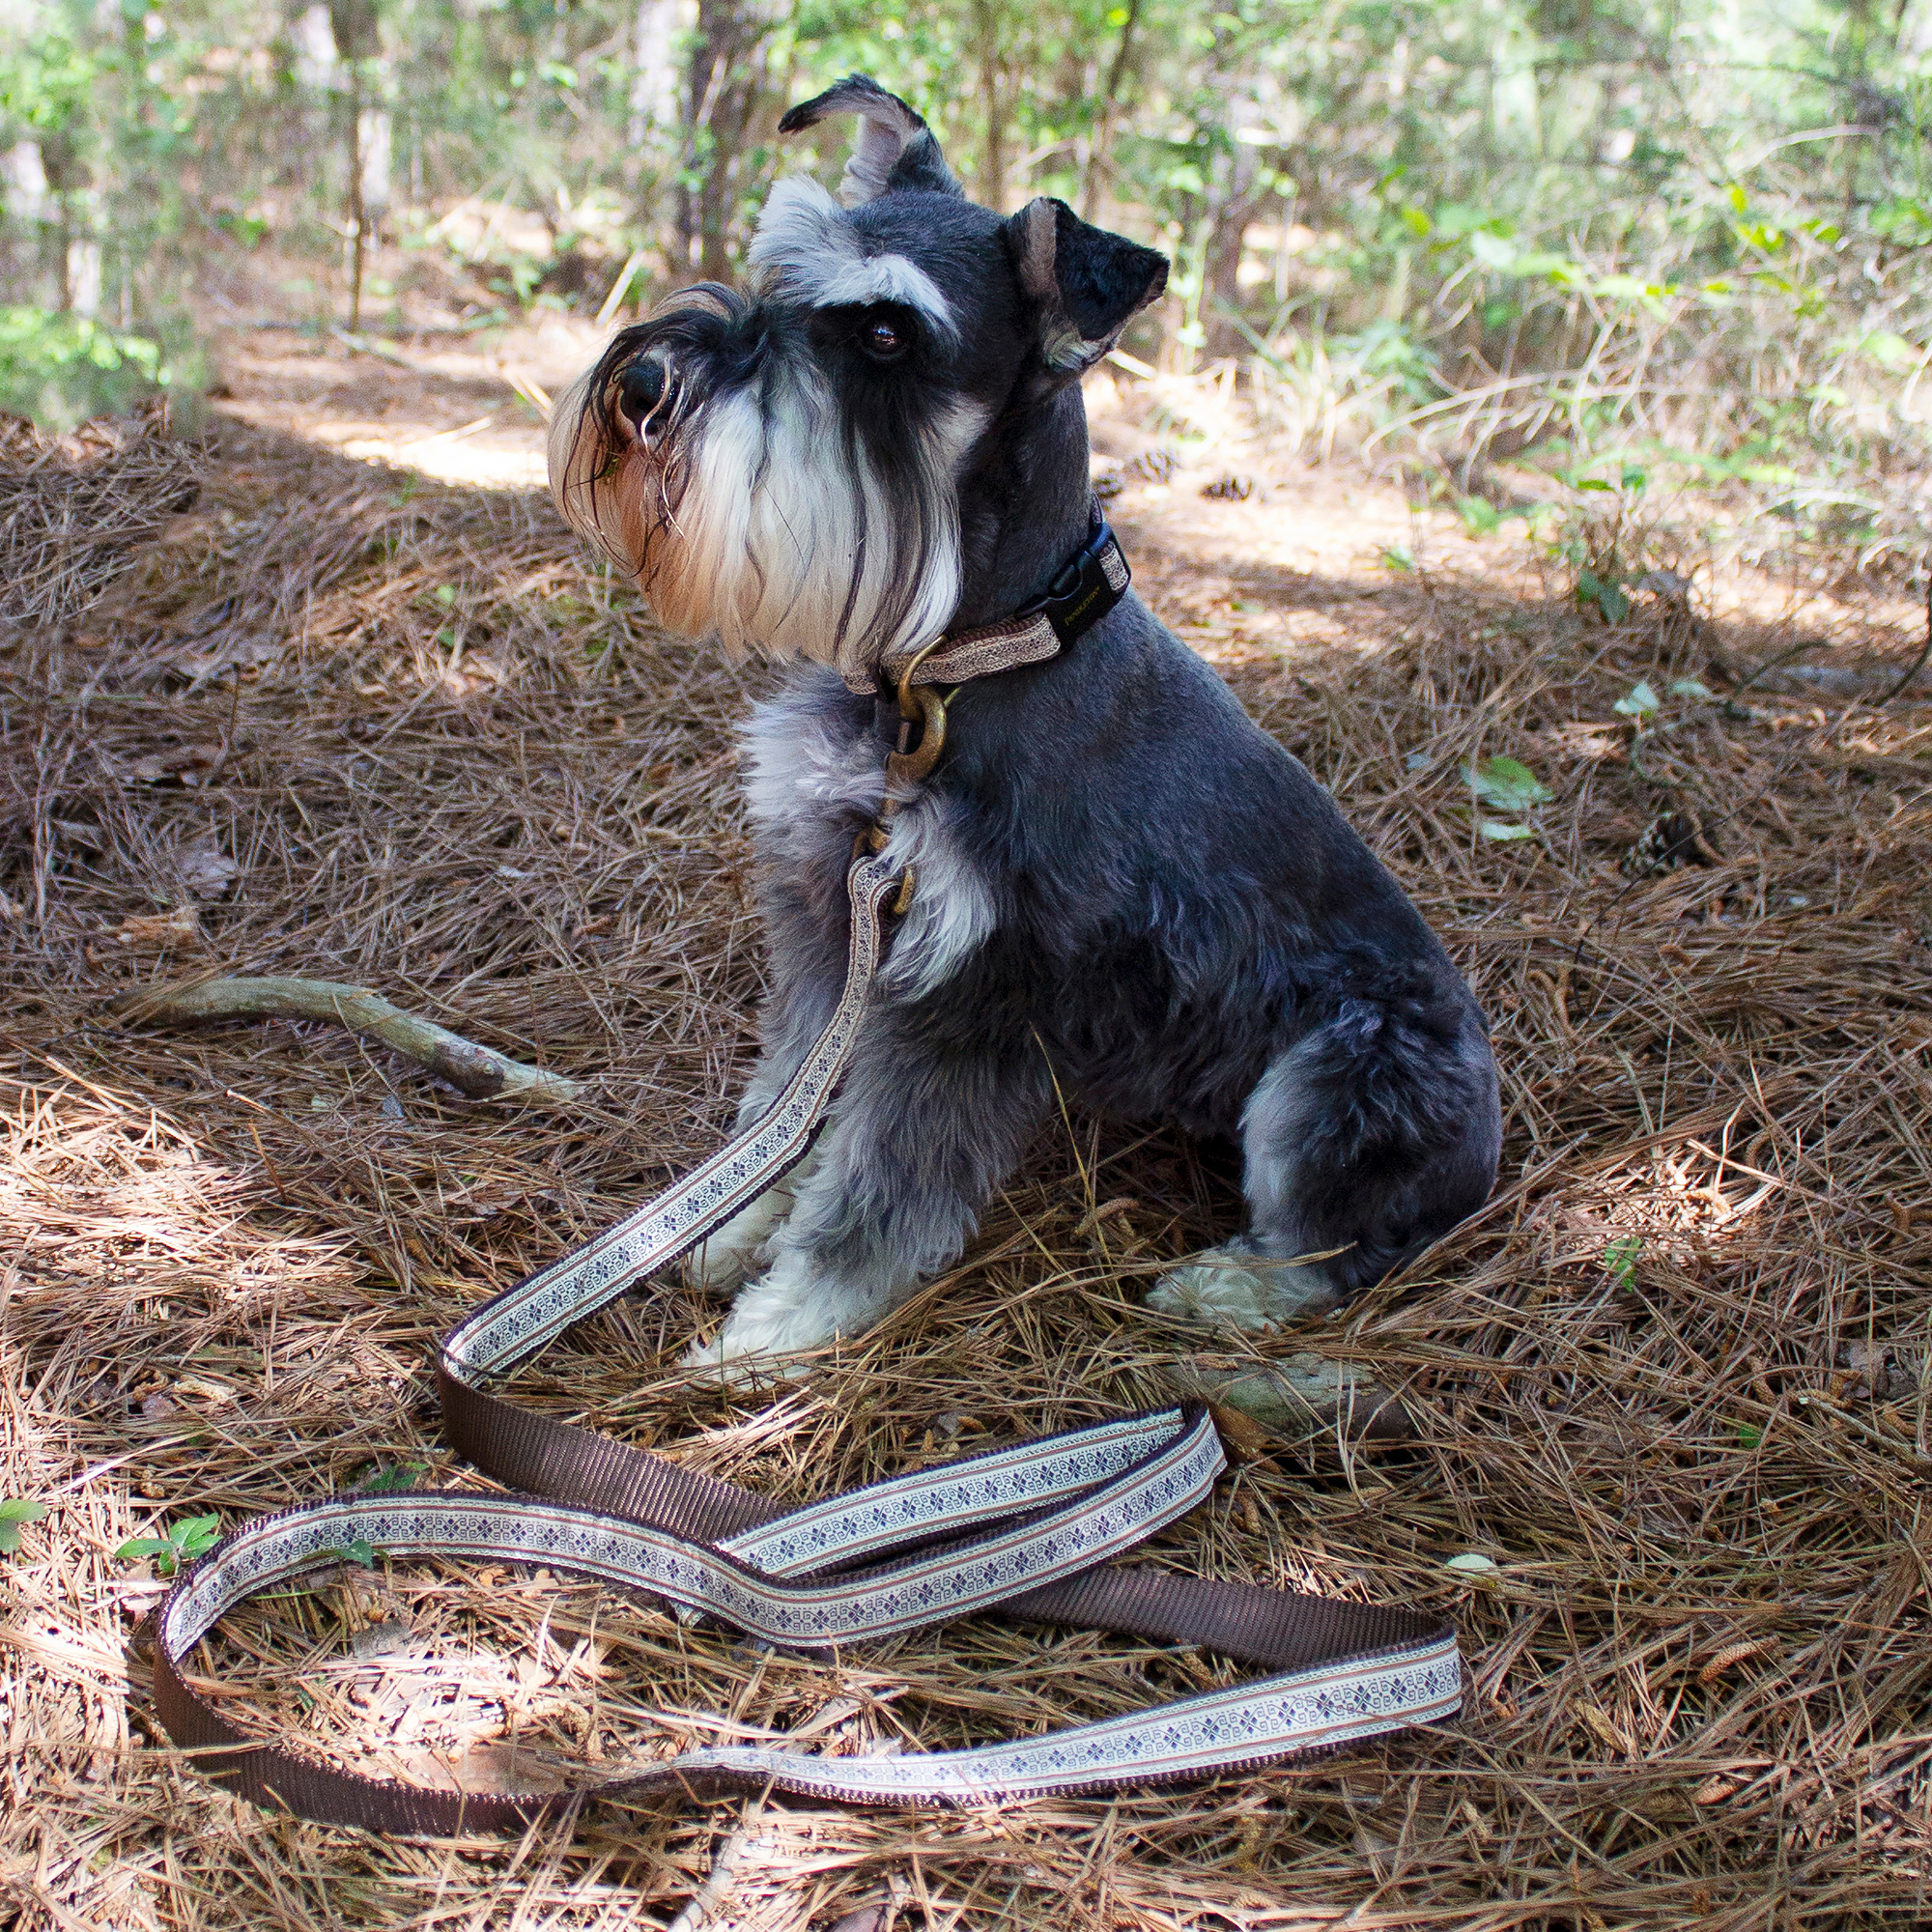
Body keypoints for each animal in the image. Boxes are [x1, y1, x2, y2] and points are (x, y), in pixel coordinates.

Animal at [553, 75, 1499, 1376]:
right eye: (778, 272)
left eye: (885, 336)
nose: (641, 387)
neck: (950, 673)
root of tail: (1496, 1135)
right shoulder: (829, 914)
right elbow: (788, 1096)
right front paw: (730, 1223)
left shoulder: (977, 984)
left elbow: (880, 1183)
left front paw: (780, 1328)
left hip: (1345, 1073)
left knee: (1347, 1242)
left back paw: (1224, 1289)